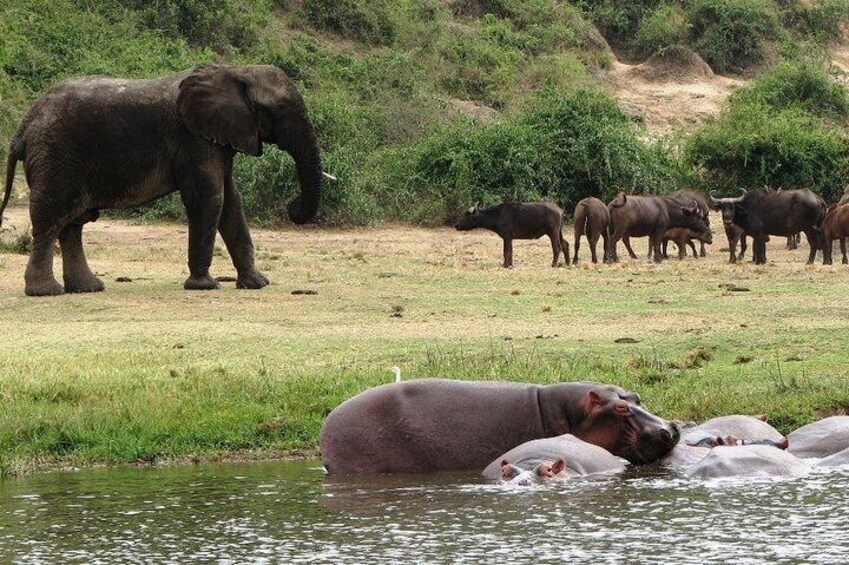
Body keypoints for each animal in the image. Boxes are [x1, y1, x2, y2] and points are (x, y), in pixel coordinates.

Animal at [1, 64, 326, 296]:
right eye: (279, 110)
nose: (292, 207)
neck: (236, 71)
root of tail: (24, 125)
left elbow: (231, 201)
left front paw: (257, 284)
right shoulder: (193, 139)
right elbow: (211, 197)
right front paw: (203, 286)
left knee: (73, 224)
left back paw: (87, 289)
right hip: (56, 157)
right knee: (50, 218)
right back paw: (46, 292)